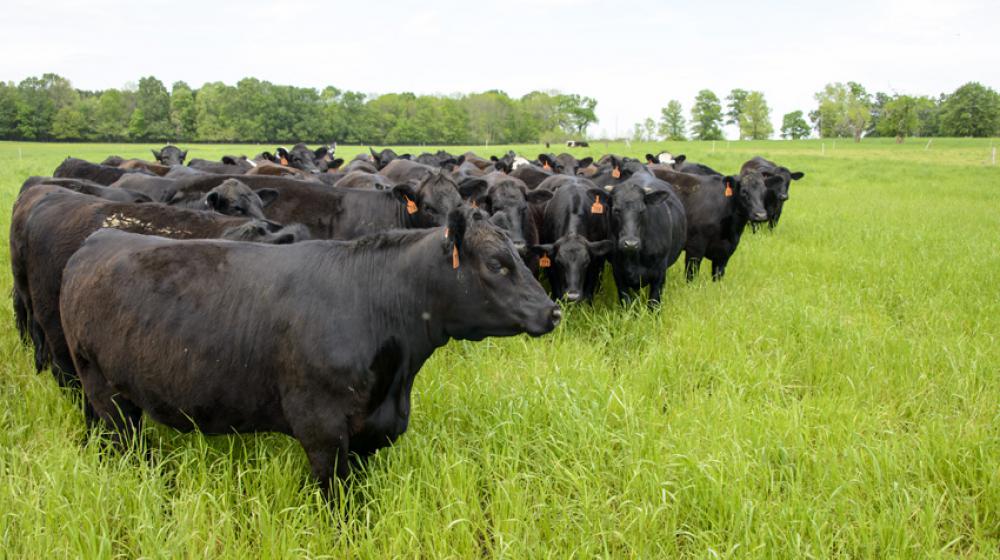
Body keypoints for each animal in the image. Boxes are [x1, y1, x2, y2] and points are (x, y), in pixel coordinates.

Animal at [60, 208, 564, 488]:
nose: (552, 311)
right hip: (104, 390)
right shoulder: (322, 430)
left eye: (520, 257)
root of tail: (99, 239)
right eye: (497, 264)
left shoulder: (366, 433)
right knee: (127, 445)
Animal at [600, 171, 688, 306]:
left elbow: (654, 302)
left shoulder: (660, 273)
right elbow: (626, 301)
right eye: (616, 210)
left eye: (642, 210)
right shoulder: (618, 273)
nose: (630, 243)